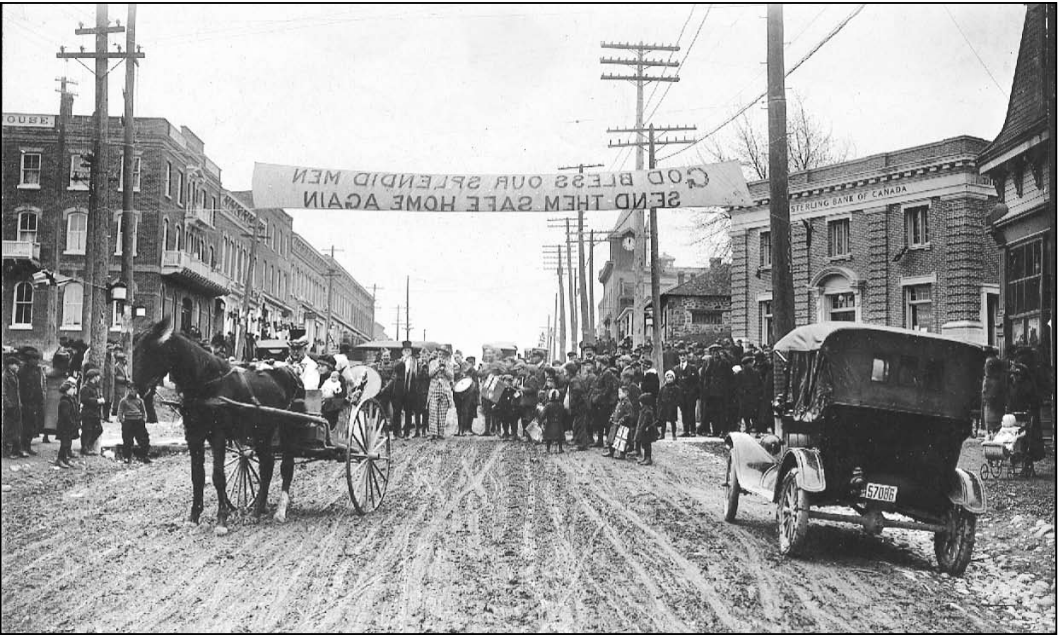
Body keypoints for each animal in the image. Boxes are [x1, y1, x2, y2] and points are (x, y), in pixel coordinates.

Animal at [133, 316, 303, 530]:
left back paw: (277, 511)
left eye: (151, 351)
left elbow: (218, 476)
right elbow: (197, 476)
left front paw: (222, 518)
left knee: (285, 467)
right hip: (262, 432)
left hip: (287, 429)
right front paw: (194, 516)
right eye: (135, 349)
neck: (207, 382)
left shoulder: (218, 436)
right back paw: (258, 510)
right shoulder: (194, 435)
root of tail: (291, 372)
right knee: (267, 465)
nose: (137, 387)